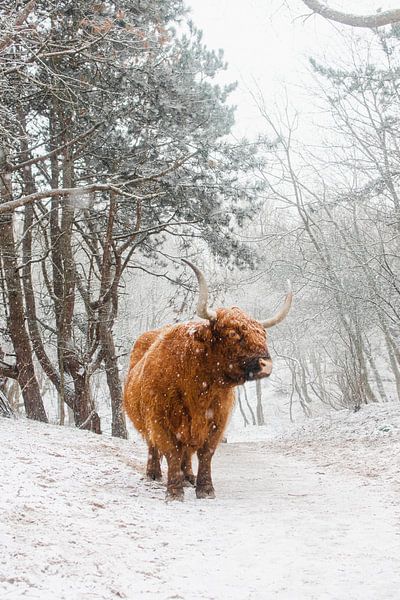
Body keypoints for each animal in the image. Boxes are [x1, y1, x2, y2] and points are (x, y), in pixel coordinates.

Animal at [123, 260, 292, 500]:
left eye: (263, 334)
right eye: (232, 334)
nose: (266, 364)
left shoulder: (216, 421)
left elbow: (205, 453)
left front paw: (205, 489)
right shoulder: (160, 420)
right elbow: (171, 451)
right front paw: (174, 492)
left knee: (186, 453)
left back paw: (188, 477)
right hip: (145, 423)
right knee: (154, 448)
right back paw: (154, 474)